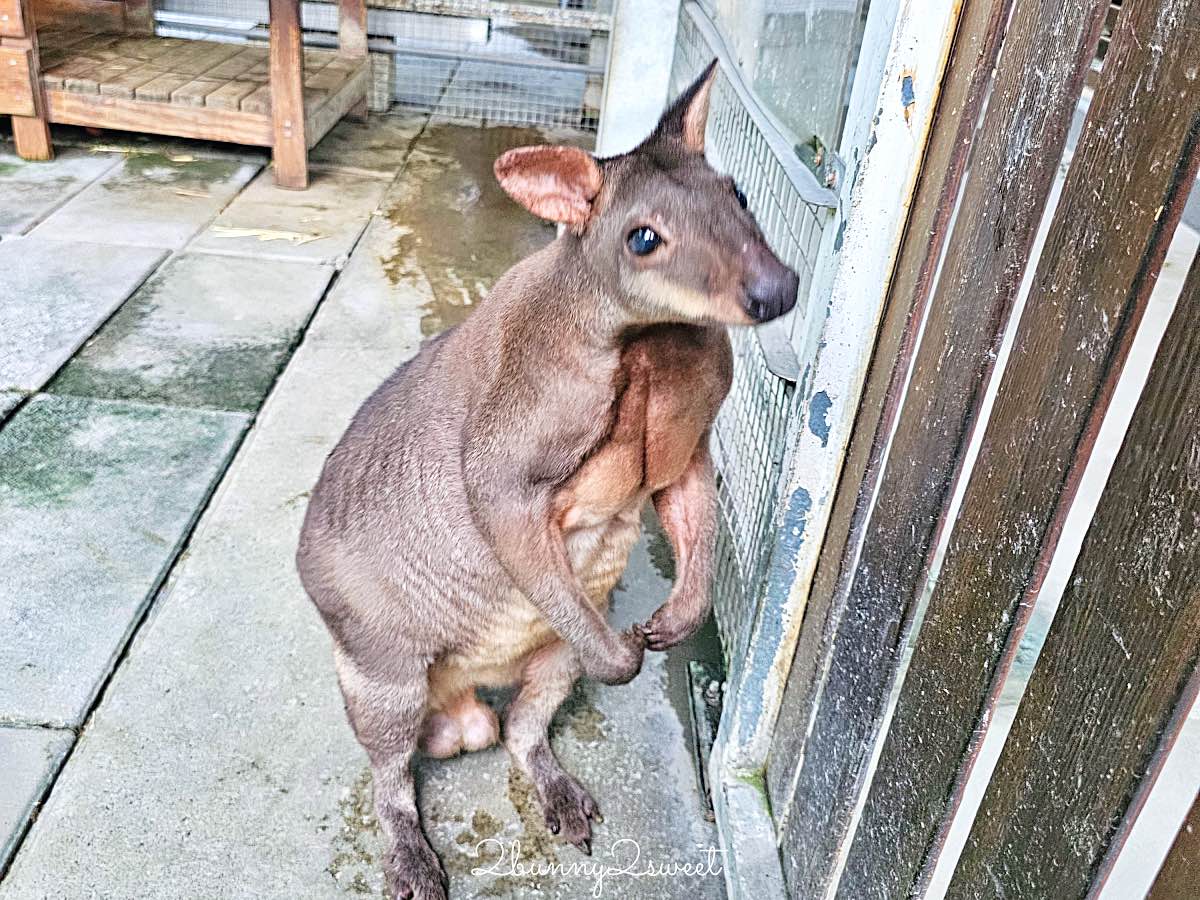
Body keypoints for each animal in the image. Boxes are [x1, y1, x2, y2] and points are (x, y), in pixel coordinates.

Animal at [296, 60, 800, 900]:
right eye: (643, 239)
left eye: (737, 196)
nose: (779, 292)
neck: (648, 340)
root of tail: (463, 697)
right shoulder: (507, 451)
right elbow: (496, 498)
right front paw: (632, 654)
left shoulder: (688, 449)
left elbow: (690, 505)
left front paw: (674, 622)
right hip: (381, 663)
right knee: (389, 772)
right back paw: (413, 858)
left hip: (554, 645)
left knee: (521, 728)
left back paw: (557, 791)